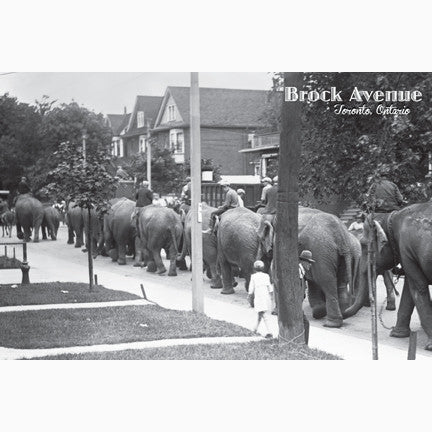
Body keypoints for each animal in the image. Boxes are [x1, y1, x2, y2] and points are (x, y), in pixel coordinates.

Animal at [344, 203, 432, 352]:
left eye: (363, 244)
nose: (343, 311)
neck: (391, 216)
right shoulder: (407, 253)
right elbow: (409, 289)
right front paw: (397, 334)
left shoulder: (406, 249)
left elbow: (418, 287)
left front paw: (430, 346)